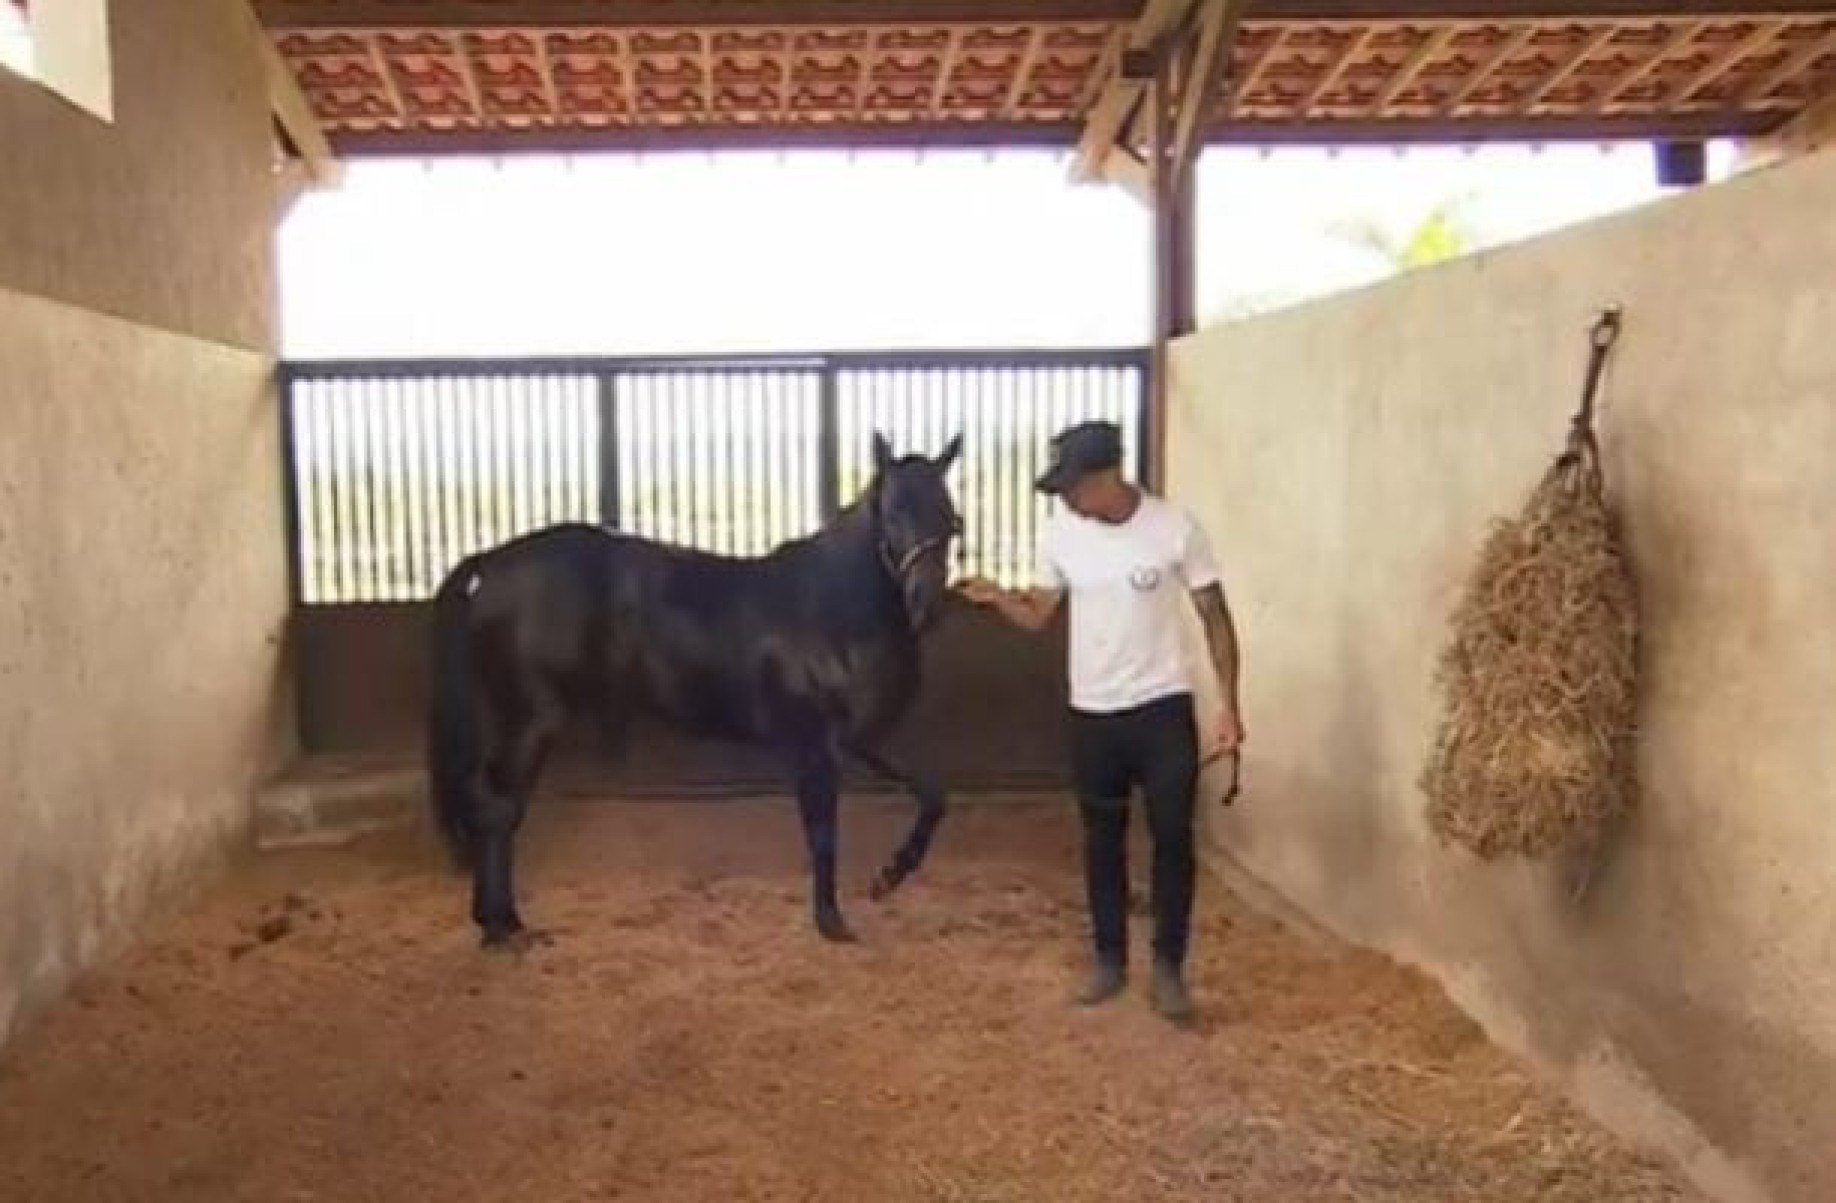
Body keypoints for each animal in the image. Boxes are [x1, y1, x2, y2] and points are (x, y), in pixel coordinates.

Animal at [425, 432, 965, 948]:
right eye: (894, 513)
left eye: (951, 519)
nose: (926, 603)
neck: (829, 607)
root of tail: (489, 564)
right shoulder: (813, 743)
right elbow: (823, 833)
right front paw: (832, 922)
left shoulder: (857, 739)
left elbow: (932, 793)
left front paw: (890, 875)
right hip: (532, 721)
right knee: (496, 808)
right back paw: (502, 928)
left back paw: (502, 923)